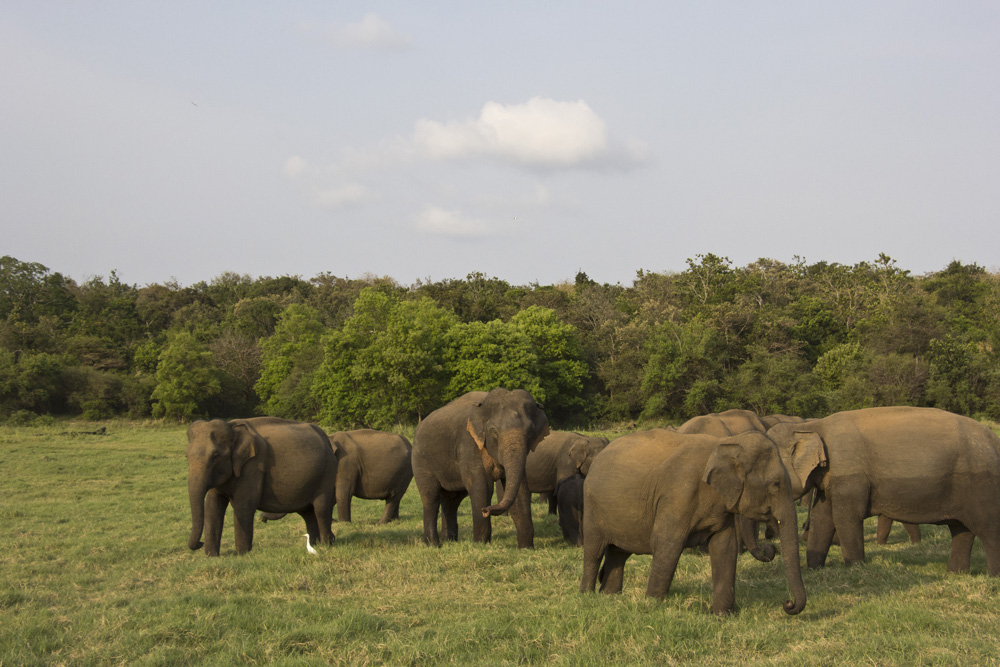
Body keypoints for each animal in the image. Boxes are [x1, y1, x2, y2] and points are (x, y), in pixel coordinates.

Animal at [188, 420, 340, 556]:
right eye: (187, 456)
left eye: (215, 456)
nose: (200, 543)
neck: (232, 427)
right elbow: (212, 506)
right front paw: (211, 556)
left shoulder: (253, 466)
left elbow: (244, 505)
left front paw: (242, 554)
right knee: (308, 513)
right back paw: (317, 544)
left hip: (327, 472)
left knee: (320, 508)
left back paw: (326, 544)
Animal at [262, 428, 414, 528]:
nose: (262, 518)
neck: (330, 437)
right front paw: (333, 521)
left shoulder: (346, 463)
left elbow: (342, 492)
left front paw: (343, 523)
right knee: (395, 497)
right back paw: (394, 521)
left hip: (406, 470)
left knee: (394, 497)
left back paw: (380, 524)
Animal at [414, 388, 556, 552]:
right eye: (494, 430)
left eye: (531, 431)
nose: (486, 510)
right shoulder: (468, 444)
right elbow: (481, 487)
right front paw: (480, 545)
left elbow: (520, 489)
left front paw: (526, 549)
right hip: (421, 461)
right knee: (430, 497)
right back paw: (434, 545)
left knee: (451, 500)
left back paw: (450, 541)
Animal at [580, 430, 804, 620]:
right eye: (775, 485)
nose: (788, 603)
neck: (724, 443)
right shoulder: (677, 495)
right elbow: (667, 544)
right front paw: (652, 606)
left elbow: (725, 547)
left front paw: (723, 616)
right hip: (591, 506)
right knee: (594, 551)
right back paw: (588, 596)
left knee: (618, 554)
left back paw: (609, 596)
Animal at [768, 408, 1000, 576]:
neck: (808, 426)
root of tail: (994, 440)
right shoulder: (830, 478)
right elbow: (822, 517)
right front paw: (815, 569)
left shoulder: (850, 475)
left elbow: (845, 518)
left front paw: (855, 568)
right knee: (961, 530)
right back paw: (954, 574)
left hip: (982, 485)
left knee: (987, 527)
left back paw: (992, 577)